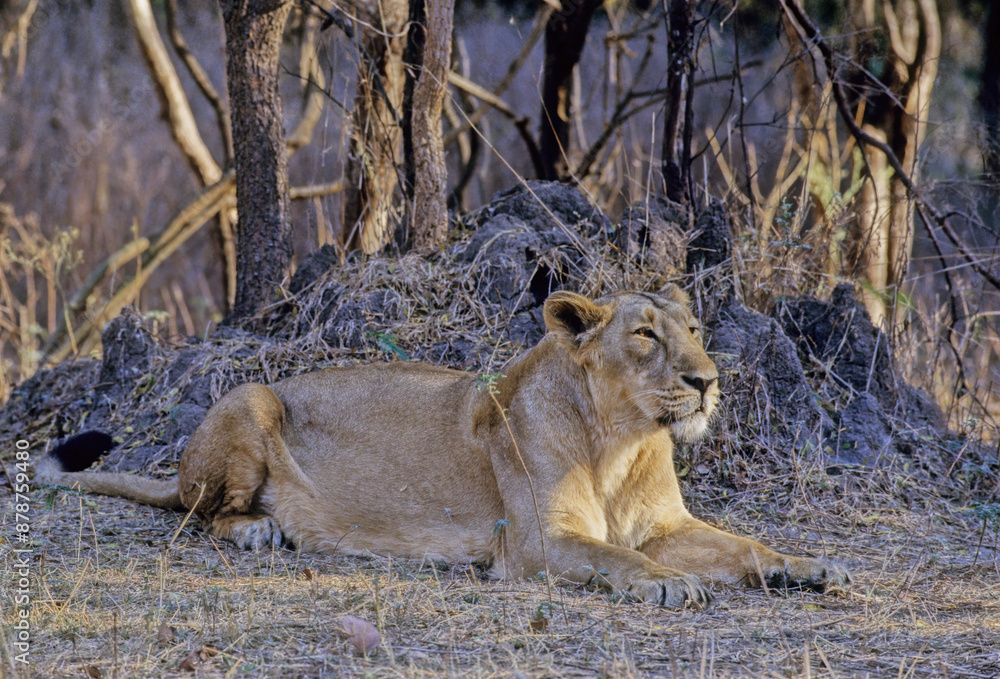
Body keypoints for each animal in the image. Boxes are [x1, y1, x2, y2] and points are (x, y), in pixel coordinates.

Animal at [38, 287, 850, 607]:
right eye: (646, 334)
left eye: (696, 329)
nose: (707, 380)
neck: (624, 440)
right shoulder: (537, 542)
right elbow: (621, 559)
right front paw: (670, 584)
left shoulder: (668, 526)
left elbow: (742, 543)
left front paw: (807, 566)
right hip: (251, 398)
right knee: (199, 514)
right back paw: (260, 530)